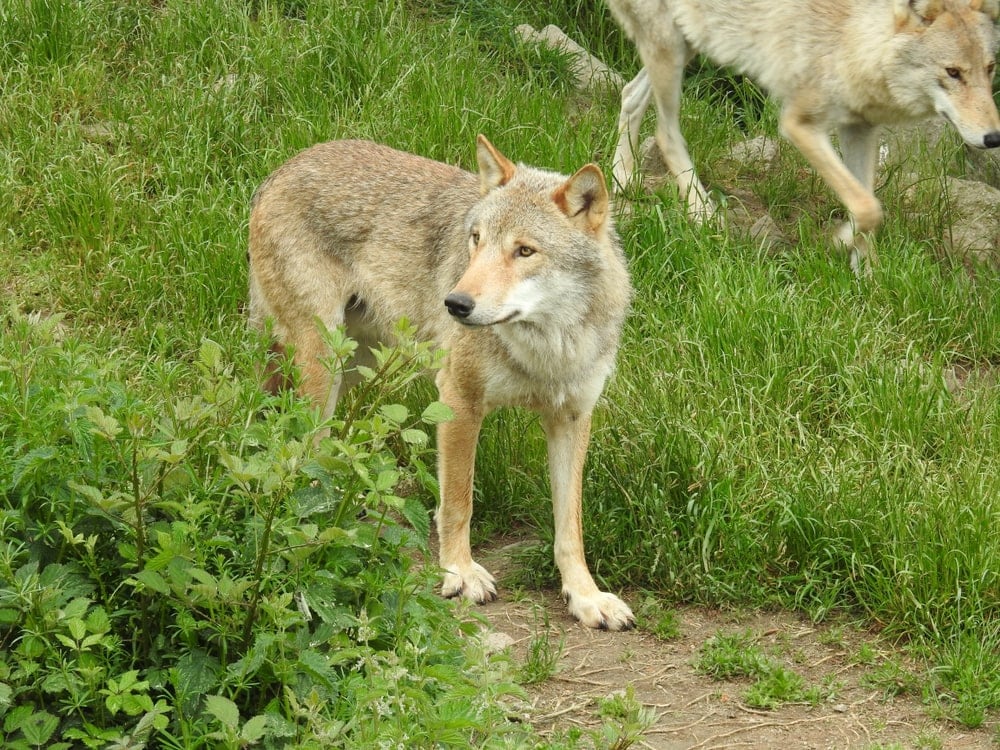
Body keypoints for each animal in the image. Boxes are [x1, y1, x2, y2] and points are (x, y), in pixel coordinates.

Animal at [248, 136, 635, 630]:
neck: (548, 345)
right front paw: (460, 574)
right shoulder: (458, 401)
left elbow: (571, 526)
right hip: (322, 364)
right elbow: (457, 504)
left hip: (354, 367)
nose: (455, 303)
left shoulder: (572, 417)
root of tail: (283, 168)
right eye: (476, 240)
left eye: (525, 251)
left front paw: (585, 596)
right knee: (301, 451)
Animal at [607, 0, 1000, 271]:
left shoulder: (859, 129)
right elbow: (868, 207)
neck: (853, 38)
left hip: (686, 46)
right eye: (953, 72)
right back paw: (702, 213)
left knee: (629, 95)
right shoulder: (799, 124)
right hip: (672, 51)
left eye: (989, 68)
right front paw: (840, 242)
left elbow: (869, 206)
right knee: (665, 132)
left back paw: (623, 178)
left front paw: (867, 277)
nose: (994, 138)